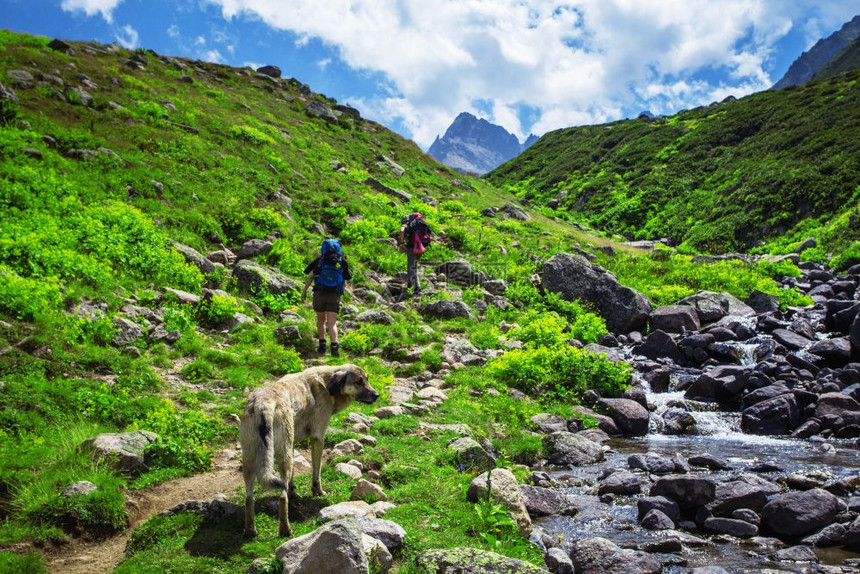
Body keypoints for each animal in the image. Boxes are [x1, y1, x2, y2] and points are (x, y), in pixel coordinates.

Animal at [240, 364, 378, 540]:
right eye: (358, 381)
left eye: (366, 379)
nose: (376, 395)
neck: (327, 384)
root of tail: (263, 403)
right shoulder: (318, 438)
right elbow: (316, 472)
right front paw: (318, 491)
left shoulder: (292, 444)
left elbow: (292, 479)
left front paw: (294, 492)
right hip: (283, 456)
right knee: (282, 497)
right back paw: (286, 530)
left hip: (250, 459)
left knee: (249, 498)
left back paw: (250, 531)